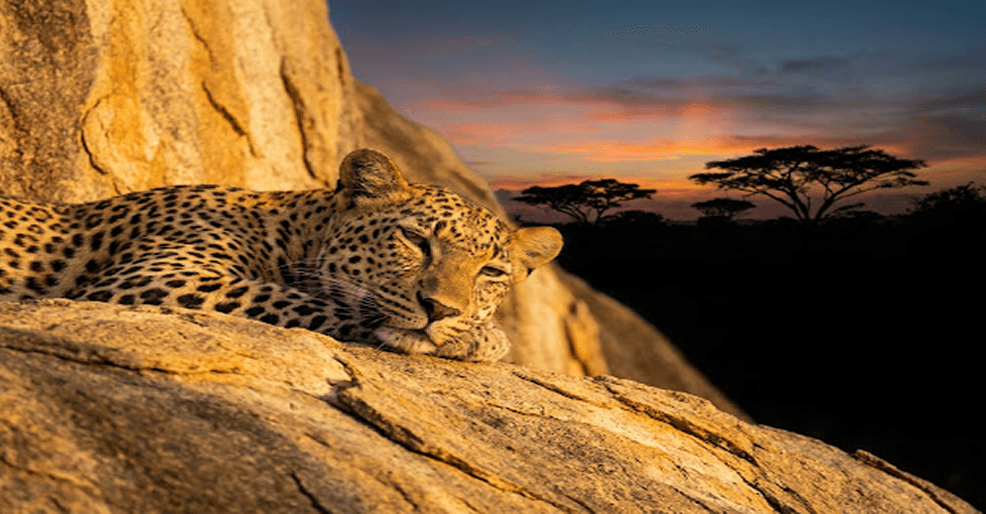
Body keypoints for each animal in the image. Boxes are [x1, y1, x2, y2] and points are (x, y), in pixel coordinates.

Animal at [0, 148, 562, 362]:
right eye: (415, 240)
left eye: (491, 271)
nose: (442, 309)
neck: (292, 229)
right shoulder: (161, 275)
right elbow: (305, 302)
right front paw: (483, 339)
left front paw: (471, 331)